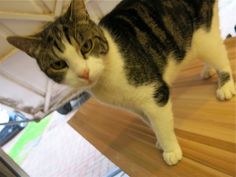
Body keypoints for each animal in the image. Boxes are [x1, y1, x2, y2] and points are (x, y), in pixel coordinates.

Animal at [5, 0, 234, 166]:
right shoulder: (135, 106)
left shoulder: (154, 94)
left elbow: (160, 121)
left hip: (203, 34)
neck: (107, 76)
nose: (84, 73)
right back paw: (207, 71)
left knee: (218, 52)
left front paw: (169, 148)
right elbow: (149, 122)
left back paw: (225, 84)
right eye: (58, 64)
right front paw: (160, 141)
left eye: (86, 46)